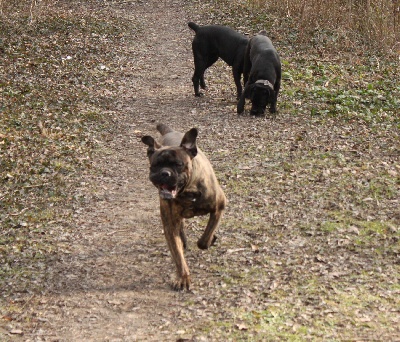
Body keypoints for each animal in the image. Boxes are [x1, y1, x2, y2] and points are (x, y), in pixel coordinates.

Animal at [142, 124, 227, 290]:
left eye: (178, 164)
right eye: (155, 165)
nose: (165, 173)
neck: (188, 191)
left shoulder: (219, 206)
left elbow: (204, 238)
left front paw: (210, 239)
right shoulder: (169, 225)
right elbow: (177, 254)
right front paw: (183, 278)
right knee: (180, 228)